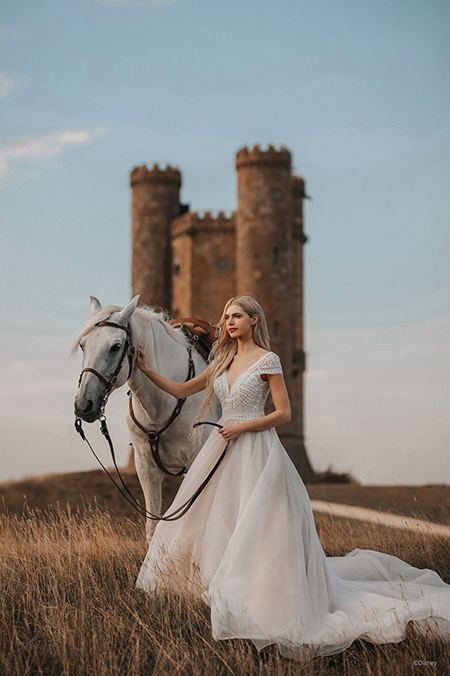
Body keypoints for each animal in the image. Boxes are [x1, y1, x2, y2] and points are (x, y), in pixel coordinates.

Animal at [72, 296, 220, 544]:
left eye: (116, 347)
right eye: (83, 345)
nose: (84, 406)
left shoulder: (198, 464)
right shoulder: (146, 468)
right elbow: (153, 528)